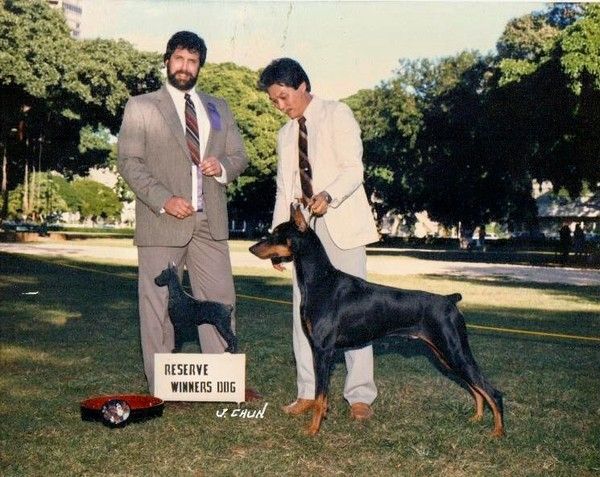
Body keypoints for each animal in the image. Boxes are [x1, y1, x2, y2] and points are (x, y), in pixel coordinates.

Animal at [249, 204, 504, 437]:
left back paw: (497, 432)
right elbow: (321, 396)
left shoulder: (322, 351)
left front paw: (313, 430)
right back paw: (476, 419)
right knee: (476, 389)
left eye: (277, 233)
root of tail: (450, 300)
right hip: (445, 355)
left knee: (492, 391)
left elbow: (320, 396)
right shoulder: (319, 351)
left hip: (454, 350)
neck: (320, 280)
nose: (252, 247)